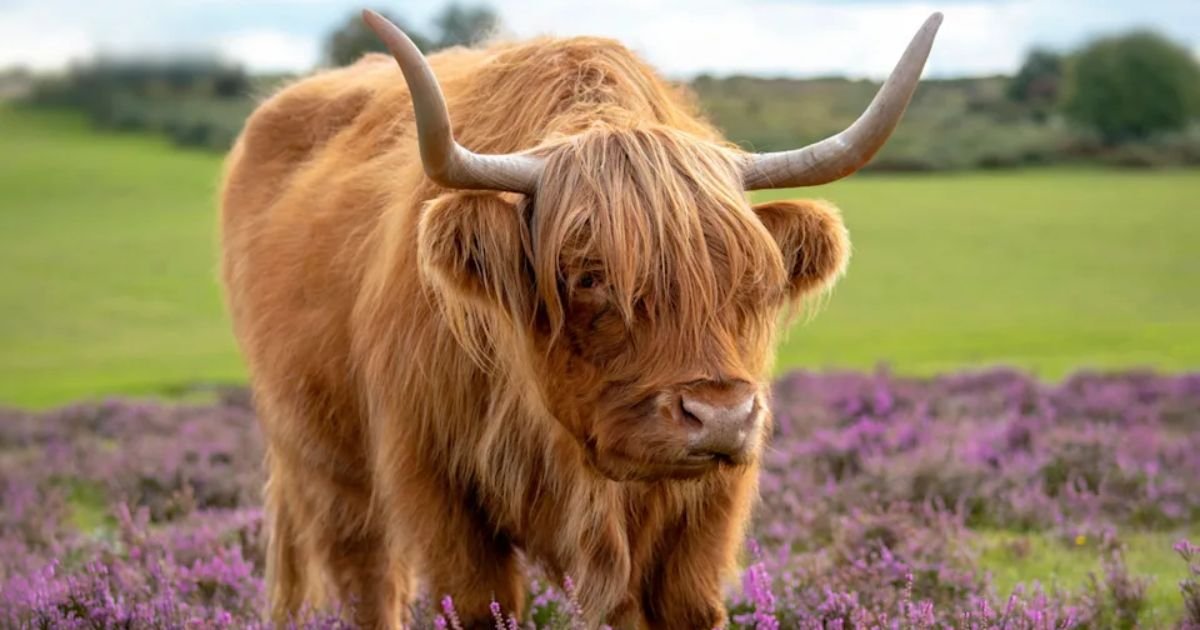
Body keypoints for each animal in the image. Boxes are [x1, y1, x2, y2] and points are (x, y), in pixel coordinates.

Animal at [219, 10, 941, 628]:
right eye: (590, 276)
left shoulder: (707, 511)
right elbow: (477, 604)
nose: (721, 417)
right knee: (366, 582)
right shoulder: (435, 482)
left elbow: (686, 605)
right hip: (326, 466)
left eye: (749, 279)